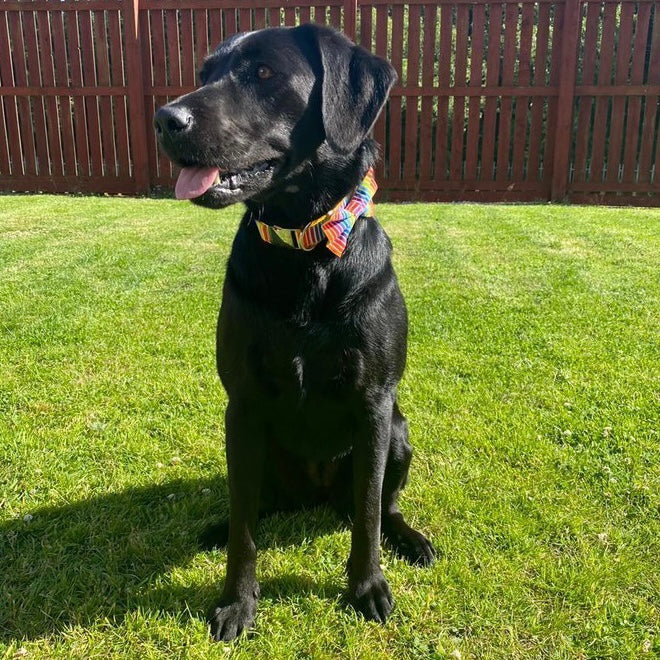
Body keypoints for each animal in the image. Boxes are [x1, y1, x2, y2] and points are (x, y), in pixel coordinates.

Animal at [154, 24, 434, 640]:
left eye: (263, 73)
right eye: (206, 73)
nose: (165, 118)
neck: (303, 249)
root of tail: (316, 498)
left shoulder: (374, 407)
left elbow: (368, 516)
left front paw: (366, 587)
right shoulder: (242, 407)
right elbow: (245, 529)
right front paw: (237, 602)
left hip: (400, 433)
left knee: (381, 507)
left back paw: (410, 538)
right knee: (256, 507)